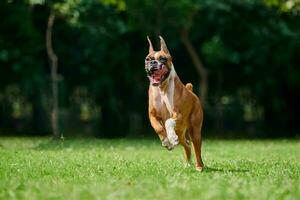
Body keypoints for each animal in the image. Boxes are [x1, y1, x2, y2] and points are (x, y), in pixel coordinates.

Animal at [145, 35, 204, 170]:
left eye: (162, 58)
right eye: (147, 59)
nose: (153, 62)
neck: (162, 88)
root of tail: (191, 91)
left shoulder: (178, 114)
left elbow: (168, 122)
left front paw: (170, 138)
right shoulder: (152, 115)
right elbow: (158, 128)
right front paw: (167, 142)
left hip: (195, 131)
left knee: (196, 148)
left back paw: (199, 166)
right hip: (181, 133)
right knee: (186, 145)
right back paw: (187, 163)